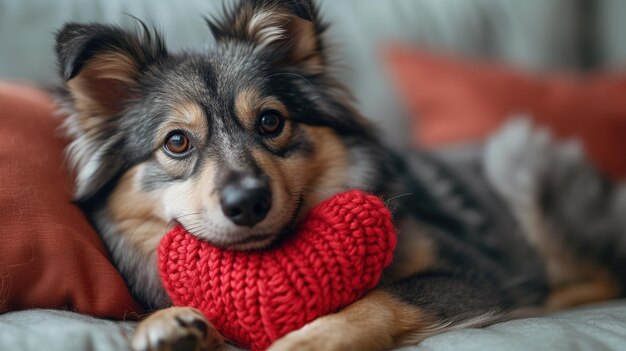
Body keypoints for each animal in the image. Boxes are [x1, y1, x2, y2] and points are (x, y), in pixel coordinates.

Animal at [54, 0, 624, 351]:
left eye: (271, 121)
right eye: (177, 142)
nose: (247, 202)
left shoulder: (472, 273)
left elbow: (375, 300)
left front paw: (304, 338)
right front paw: (167, 324)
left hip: (518, 155)